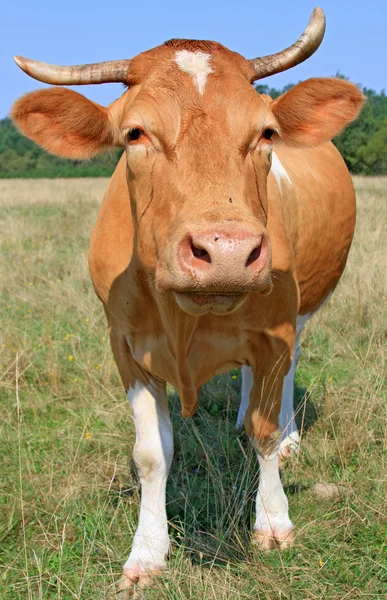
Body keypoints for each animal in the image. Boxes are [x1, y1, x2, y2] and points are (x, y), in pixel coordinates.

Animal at [10, 5, 366, 596]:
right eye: (135, 132)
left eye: (266, 131)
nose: (227, 251)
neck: (186, 318)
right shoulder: (126, 347)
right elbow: (152, 454)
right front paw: (147, 552)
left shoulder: (275, 333)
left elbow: (266, 433)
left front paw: (273, 520)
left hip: (303, 311)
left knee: (287, 376)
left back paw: (286, 436)